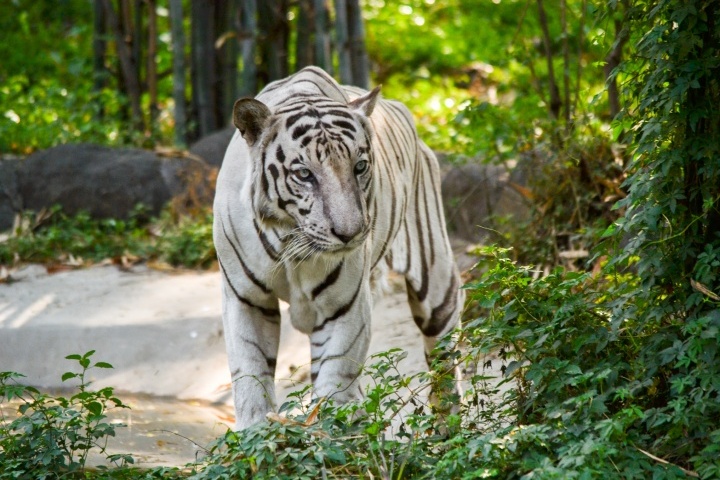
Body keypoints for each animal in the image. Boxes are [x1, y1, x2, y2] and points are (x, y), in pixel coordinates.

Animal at [214, 65, 464, 430]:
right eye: (304, 174)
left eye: (359, 167)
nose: (350, 233)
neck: (292, 240)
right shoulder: (247, 299)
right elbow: (251, 374)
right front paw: (255, 433)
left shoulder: (344, 307)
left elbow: (335, 381)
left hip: (437, 282)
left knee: (445, 358)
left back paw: (448, 430)